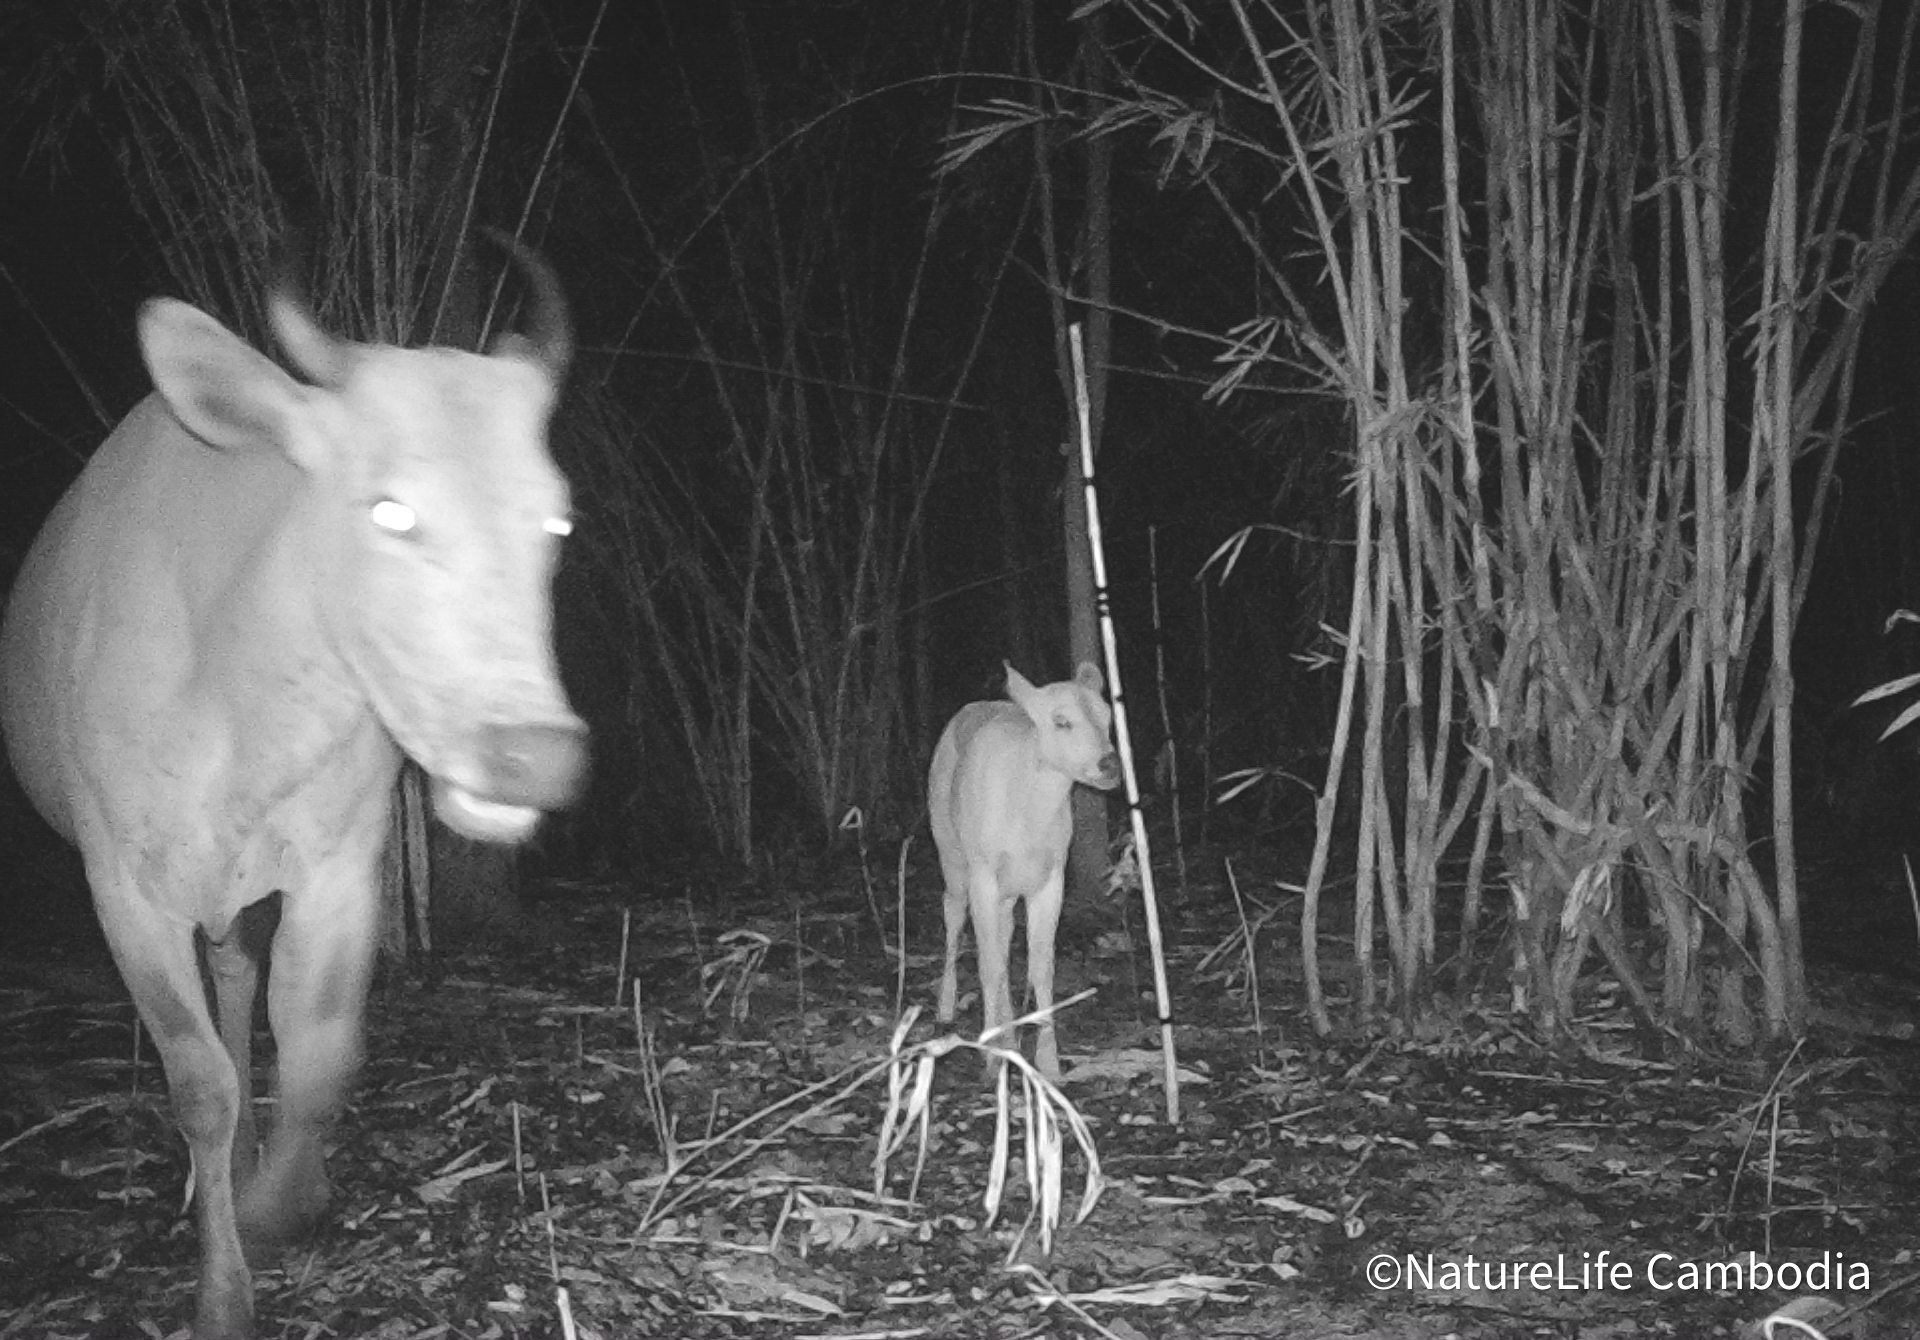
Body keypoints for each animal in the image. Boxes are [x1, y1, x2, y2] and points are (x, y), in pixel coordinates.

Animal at [0, 242, 587, 1336]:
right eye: (389, 506)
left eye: (556, 518)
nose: (533, 751)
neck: (234, 702)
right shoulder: (121, 887)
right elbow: (198, 1081)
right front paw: (221, 1291)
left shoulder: (340, 868)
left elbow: (318, 1056)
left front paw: (283, 1198)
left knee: (238, 983)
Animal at [925, 656, 1121, 1075]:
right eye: (1061, 721)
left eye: (1108, 716)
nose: (1110, 763)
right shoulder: (983, 868)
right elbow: (988, 962)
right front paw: (990, 1055)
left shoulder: (1052, 874)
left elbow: (1040, 963)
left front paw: (1048, 1061)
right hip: (950, 846)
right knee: (953, 913)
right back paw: (948, 1010)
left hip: (1006, 886)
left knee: (1003, 933)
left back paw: (1009, 1033)